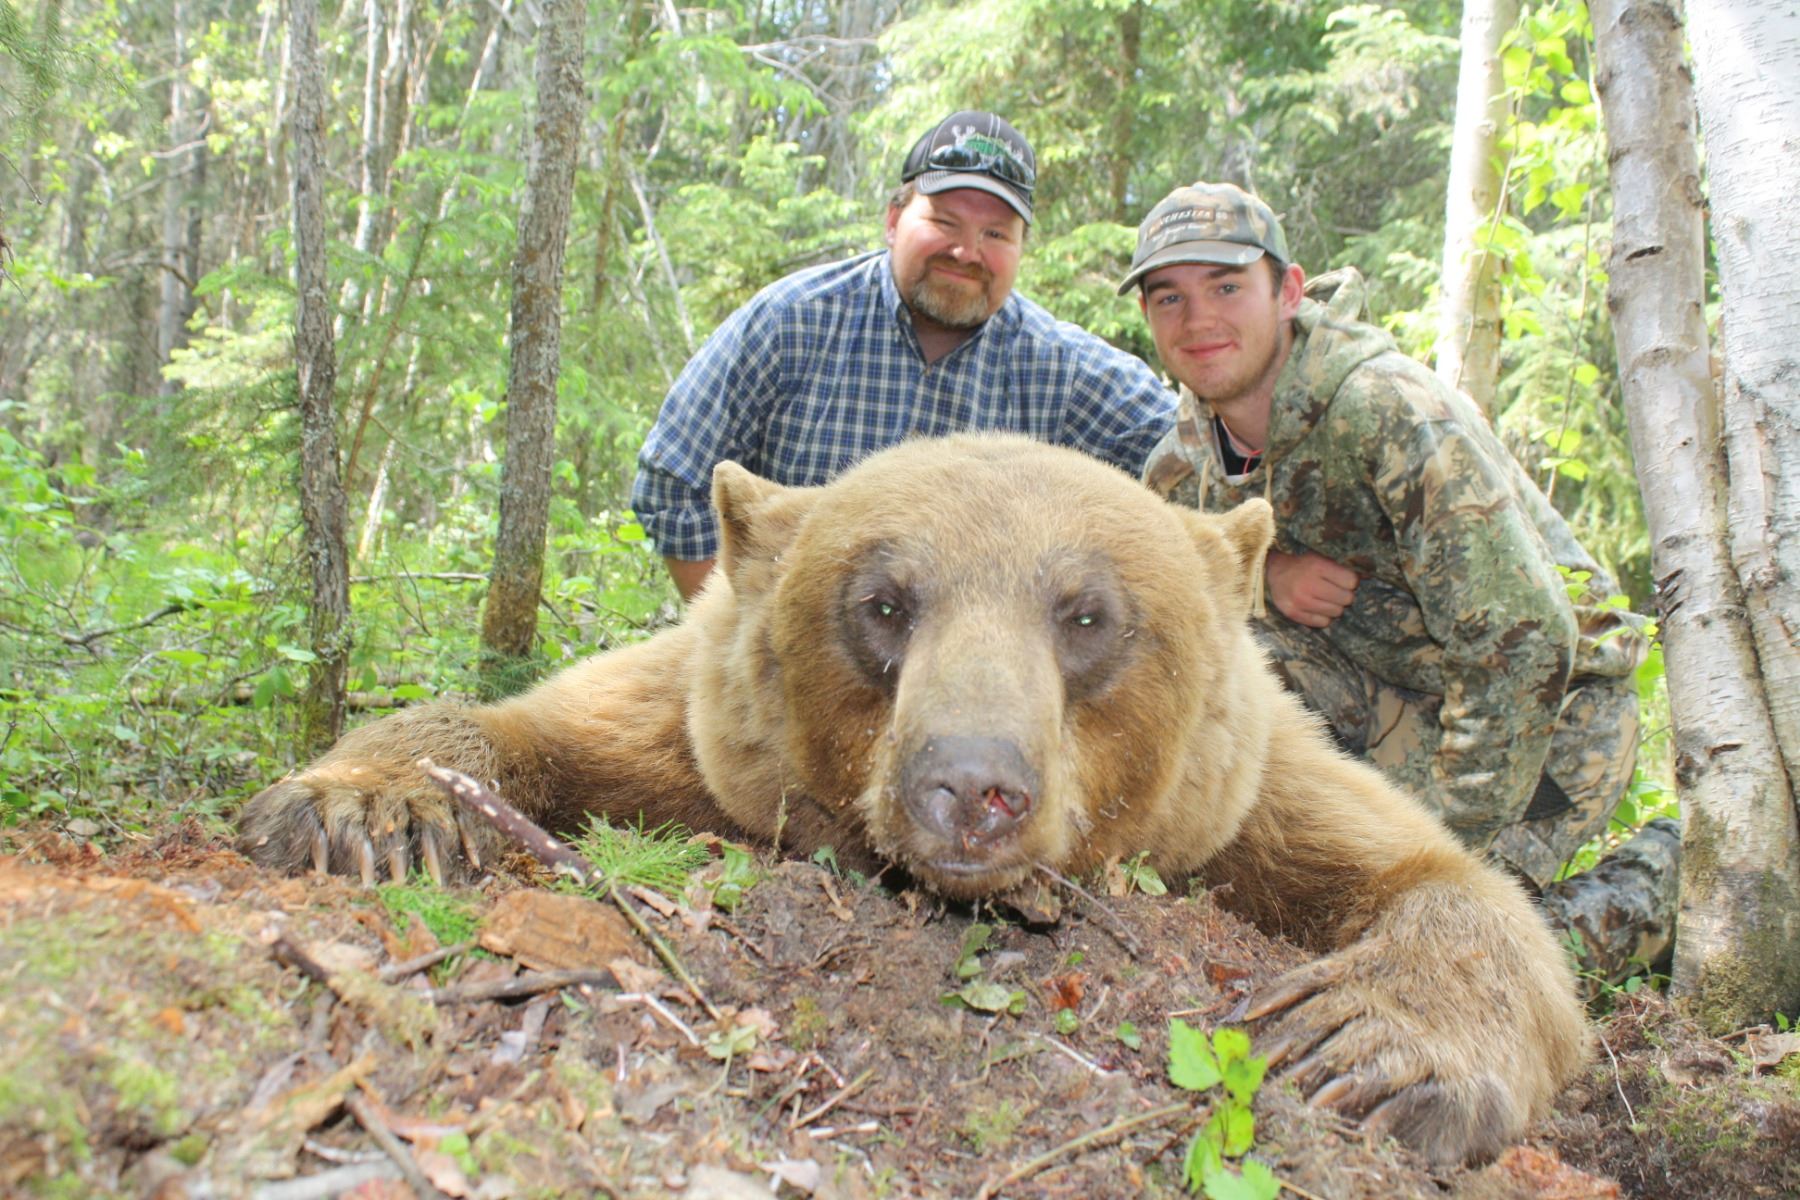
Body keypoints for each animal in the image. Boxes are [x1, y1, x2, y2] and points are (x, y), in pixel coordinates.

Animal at [238, 432, 1588, 1166]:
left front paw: (1366, 1046)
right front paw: (368, 807)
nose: (972, 787)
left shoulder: (1240, 796)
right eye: (885, 602)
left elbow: (1455, 886)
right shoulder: (703, 732)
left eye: (1086, 614)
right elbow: (530, 727)